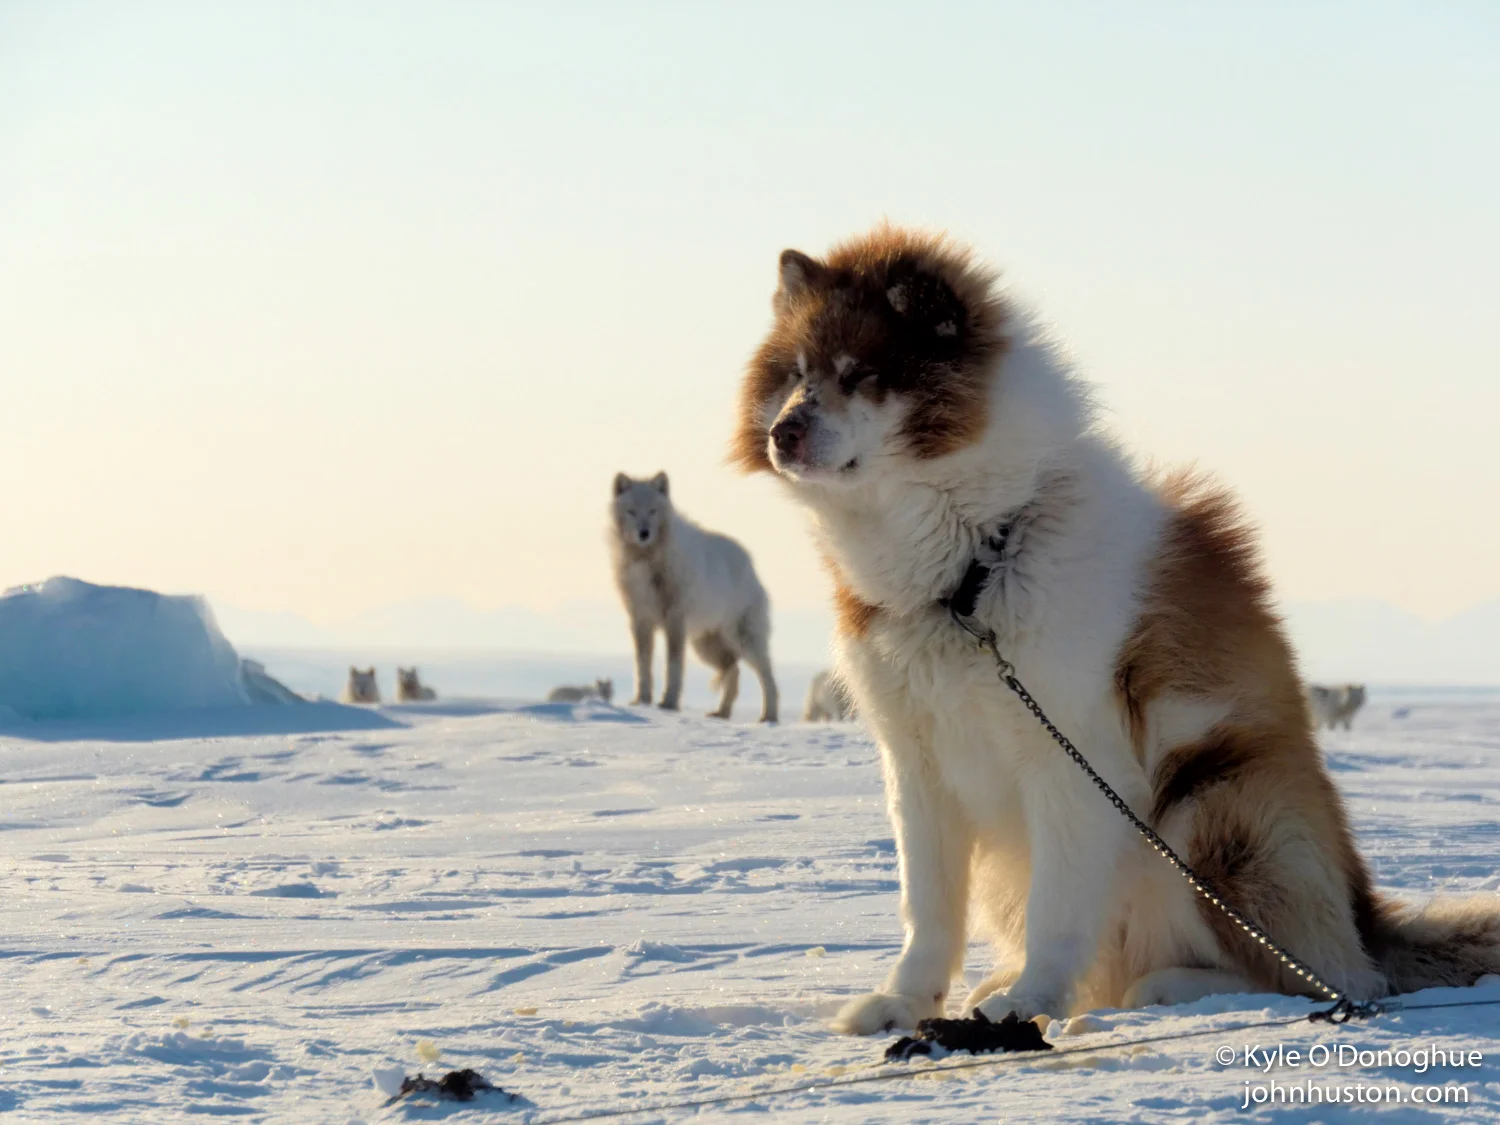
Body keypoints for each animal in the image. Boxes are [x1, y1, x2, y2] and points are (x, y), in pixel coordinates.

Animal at [610, 472, 778, 722]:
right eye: (632, 511)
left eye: (652, 511)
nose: (644, 533)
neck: (648, 559)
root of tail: (749, 563)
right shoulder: (640, 620)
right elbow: (642, 665)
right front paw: (642, 701)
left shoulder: (675, 621)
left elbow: (674, 665)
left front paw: (668, 703)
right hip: (705, 646)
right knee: (734, 670)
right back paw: (722, 713)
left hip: (743, 641)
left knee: (768, 677)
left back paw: (769, 717)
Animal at [732, 224, 1500, 1031]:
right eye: (794, 374)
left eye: (860, 374)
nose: (784, 431)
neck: (975, 564)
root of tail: (1368, 921)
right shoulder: (917, 764)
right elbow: (929, 908)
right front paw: (906, 1002)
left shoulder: (1071, 754)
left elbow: (1058, 907)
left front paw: (1029, 1001)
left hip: (1219, 804)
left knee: (1318, 979)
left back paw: (1171, 988)